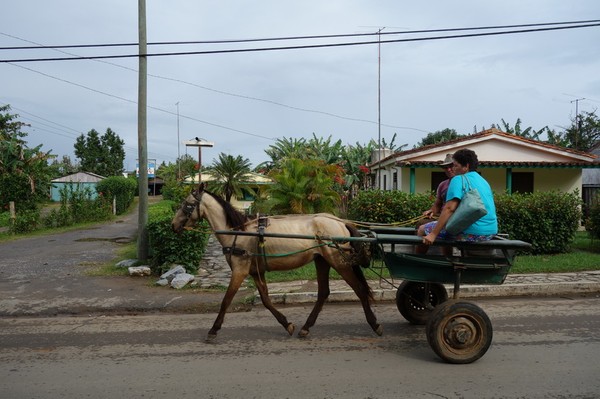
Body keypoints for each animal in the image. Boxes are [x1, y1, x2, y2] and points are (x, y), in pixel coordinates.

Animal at [171, 184, 382, 344]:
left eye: (187, 205)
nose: (173, 226)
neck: (238, 232)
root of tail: (339, 221)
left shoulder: (239, 271)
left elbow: (226, 301)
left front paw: (213, 330)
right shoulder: (255, 272)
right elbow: (265, 300)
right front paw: (287, 324)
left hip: (339, 262)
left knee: (359, 289)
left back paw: (375, 324)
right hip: (322, 261)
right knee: (323, 293)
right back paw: (306, 327)